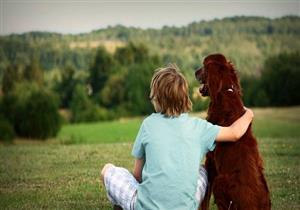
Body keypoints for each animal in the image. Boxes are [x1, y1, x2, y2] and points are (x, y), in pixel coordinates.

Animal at [196, 54, 270, 210]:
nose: (195, 72)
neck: (224, 91)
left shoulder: (211, 160)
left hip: (219, 181)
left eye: (204, 65)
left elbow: (205, 198)